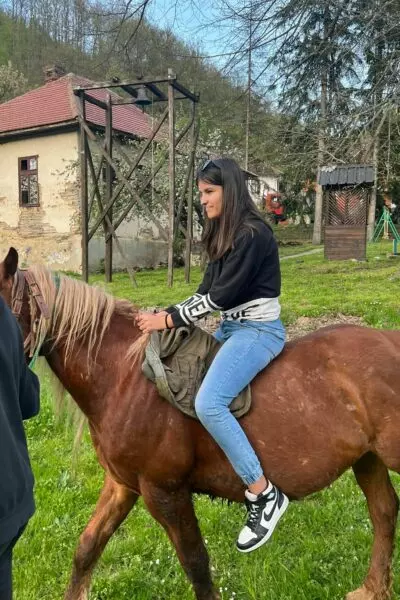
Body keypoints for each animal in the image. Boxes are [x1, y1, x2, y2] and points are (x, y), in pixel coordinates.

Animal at [1, 245, 400, 600]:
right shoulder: (122, 484)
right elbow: (87, 548)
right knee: (384, 512)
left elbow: (196, 564)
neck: (125, 378)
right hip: (367, 458)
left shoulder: (165, 492)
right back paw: (372, 589)